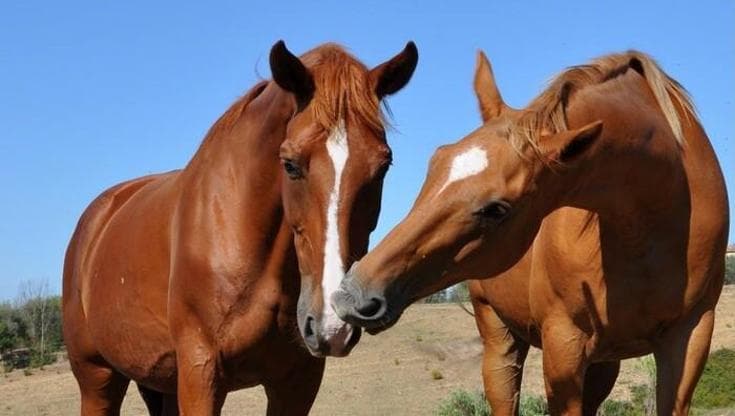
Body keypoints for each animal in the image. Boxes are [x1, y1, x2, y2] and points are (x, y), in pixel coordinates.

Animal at [62, 40, 417, 416]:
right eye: (290, 165)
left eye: (383, 166)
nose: (332, 322)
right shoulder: (201, 374)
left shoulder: (297, 382)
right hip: (98, 379)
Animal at [333, 50, 728, 415]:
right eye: (437, 161)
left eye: (497, 209)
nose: (353, 294)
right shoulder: (563, 345)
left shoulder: (689, 340)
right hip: (499, 342)